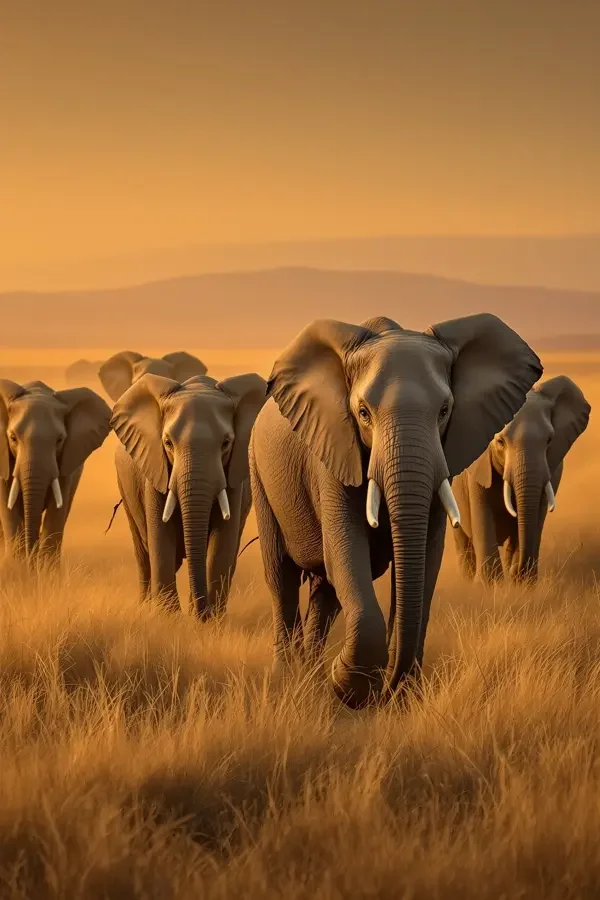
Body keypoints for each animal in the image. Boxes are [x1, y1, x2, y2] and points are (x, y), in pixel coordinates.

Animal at [0, 380, 112, 563]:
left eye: (60, 440)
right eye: (13, 438)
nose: (31, 561)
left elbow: (57, 510)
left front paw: (46, 569)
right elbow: (8, 508)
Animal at [111, 372, 267, 616]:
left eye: (226, 443)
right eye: (167, 443)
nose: (203, 612)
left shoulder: (234, 478)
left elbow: (222, 542)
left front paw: (209, 619)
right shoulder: (156, 470)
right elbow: (160, 537)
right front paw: (168, 617)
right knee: (143, 553)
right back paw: (145, 607)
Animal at [249, 313, 542, 708]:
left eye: (445, 411)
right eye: (362, 413)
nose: (388, 686)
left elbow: (427, 559)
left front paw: (399, 696)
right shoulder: (333, 451)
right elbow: (347, 551)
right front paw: (347, 684)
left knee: (325, 590)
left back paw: (312, 674)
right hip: (258, 473)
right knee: (281, 577)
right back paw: (292, 676)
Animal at [452, 375, 590, 584]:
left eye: (549, 441)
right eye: (500, 441)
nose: (517, 571)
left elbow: (536, 516)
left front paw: (522, 584)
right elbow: (482, 512)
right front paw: (490, 585)